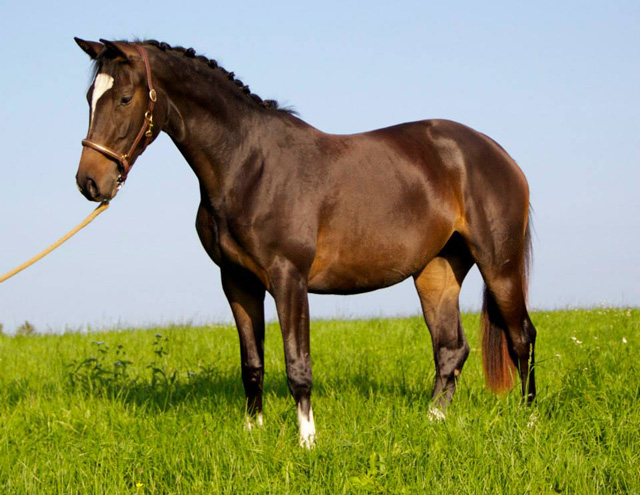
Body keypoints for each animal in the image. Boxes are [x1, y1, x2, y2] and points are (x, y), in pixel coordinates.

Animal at [74, 38, 536, 450]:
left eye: (125, 98)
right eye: (89, 97)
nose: (89, 182)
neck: (248, 166)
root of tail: (497, 154)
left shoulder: (288, 278)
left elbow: (297, 364)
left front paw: (307, 441)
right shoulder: (237, 281)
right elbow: (252, 363)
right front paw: (253, 432)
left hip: (499, 266)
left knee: (521, 338)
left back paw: (528, 419)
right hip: (436, 271)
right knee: (451, 349)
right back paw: (433, 420)